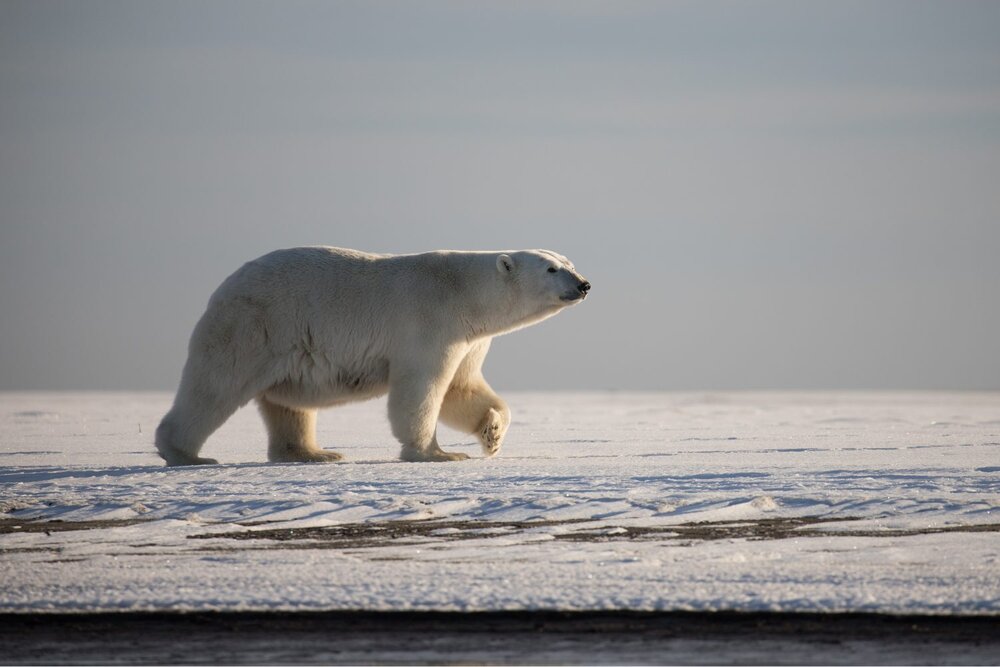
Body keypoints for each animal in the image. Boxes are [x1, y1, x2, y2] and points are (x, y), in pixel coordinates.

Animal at [155, 246, 590, 465]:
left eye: (569, 263)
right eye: (552, 269)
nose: (584, 284)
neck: (464, 290)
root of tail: (223, 287)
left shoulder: (470, 338)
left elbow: (462, 389)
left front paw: (492, 434)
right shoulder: (429, 320)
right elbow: (422, 388)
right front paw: (437, 454)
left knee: (287, 405)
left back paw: (314, 453)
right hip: (253, 326)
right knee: (214, 387)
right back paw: (185, 455)